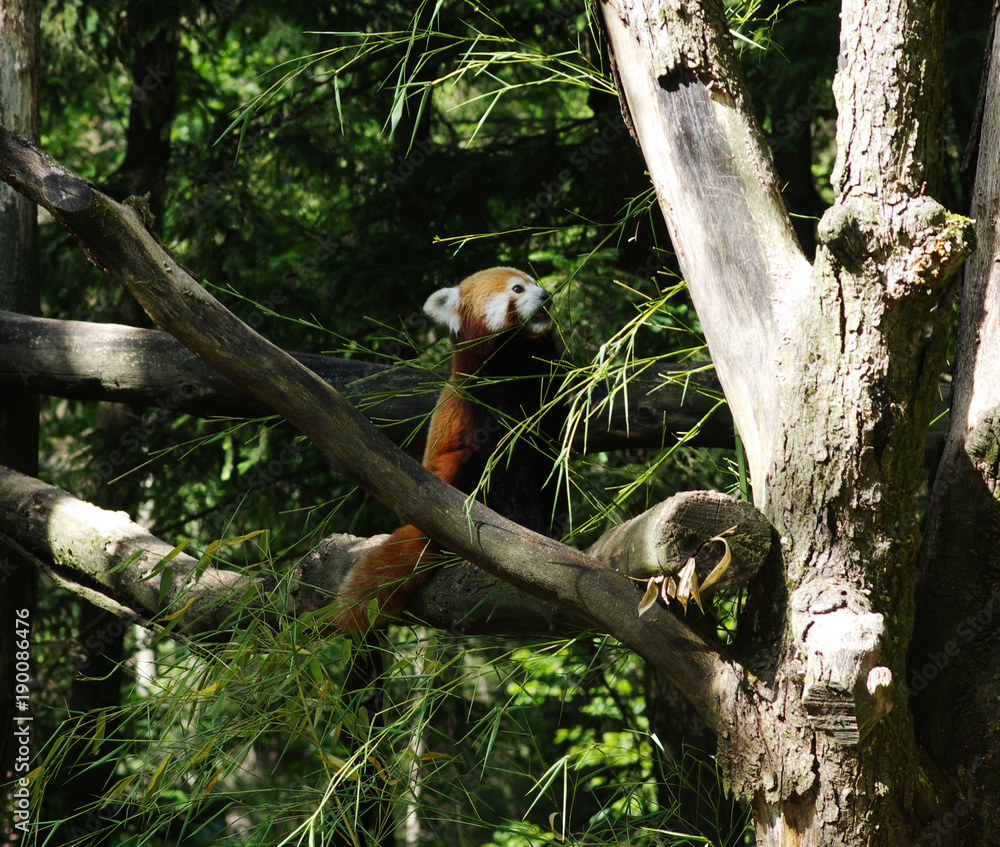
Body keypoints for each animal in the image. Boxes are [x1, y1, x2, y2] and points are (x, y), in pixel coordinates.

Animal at [328, 268, 564, 632]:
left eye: (533, 281)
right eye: (517, 289)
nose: (546, 295)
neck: (514, 363)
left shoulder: (544, 389)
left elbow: (551, 458)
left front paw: (557, 528)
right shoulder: (482, 399)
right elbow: (508, 470)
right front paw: (529, 529)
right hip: (448, 476)